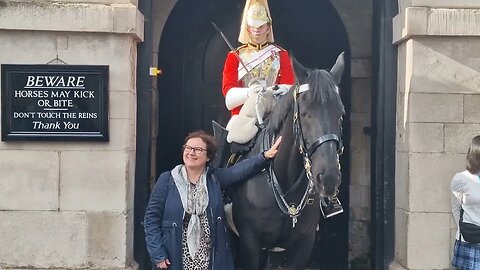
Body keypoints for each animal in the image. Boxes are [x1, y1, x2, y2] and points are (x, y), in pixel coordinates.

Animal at [229, 51, 344, 268]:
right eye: (305, 113)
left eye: (340, 113)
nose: (328, 178)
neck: (284, 182)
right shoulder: (249, 244)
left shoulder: (303, 244)